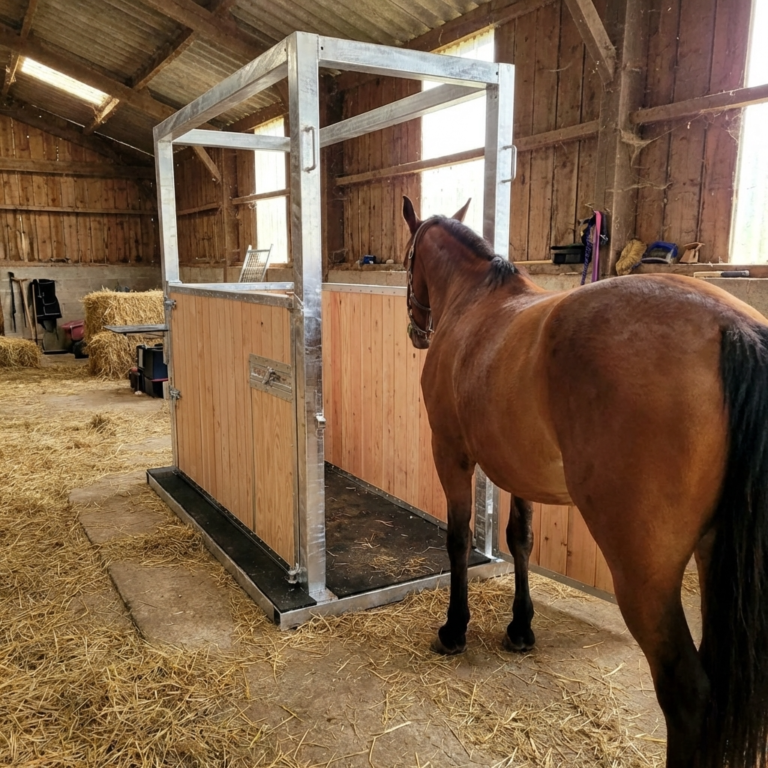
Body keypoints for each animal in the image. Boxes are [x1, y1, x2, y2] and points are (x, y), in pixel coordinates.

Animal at [401, 195, 768, 768]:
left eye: (408, 258)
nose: (417, 330)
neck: (476, 302)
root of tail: (733, 328)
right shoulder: (518, 469)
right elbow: (520, 541)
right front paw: (521, 628)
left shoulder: (452, 454)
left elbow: (458, 540)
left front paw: (455, 629)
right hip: (717, 558)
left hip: (646, 575)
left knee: (688, 692)